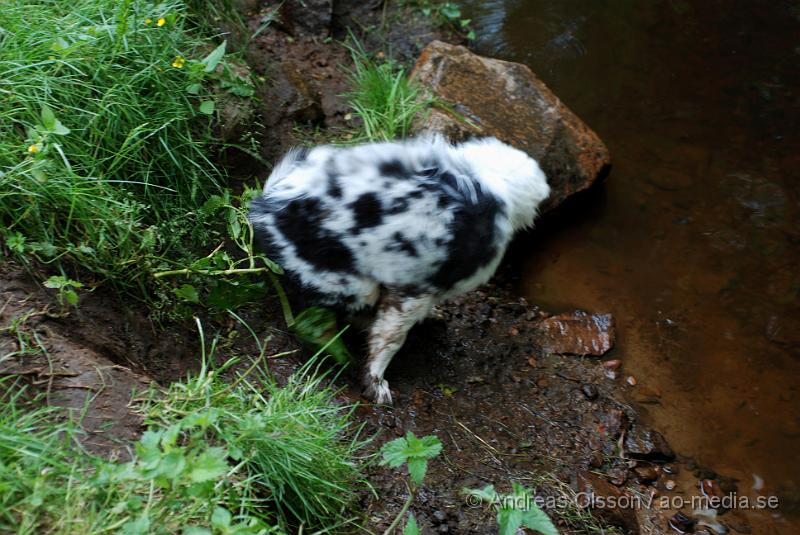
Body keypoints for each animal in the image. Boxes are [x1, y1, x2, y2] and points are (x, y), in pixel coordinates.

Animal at [250, 136, 552, 404]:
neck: (489, 182)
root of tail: (267, 204)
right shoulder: (413, 291)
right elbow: (388, 340)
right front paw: (376, 383)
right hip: (354, 284)